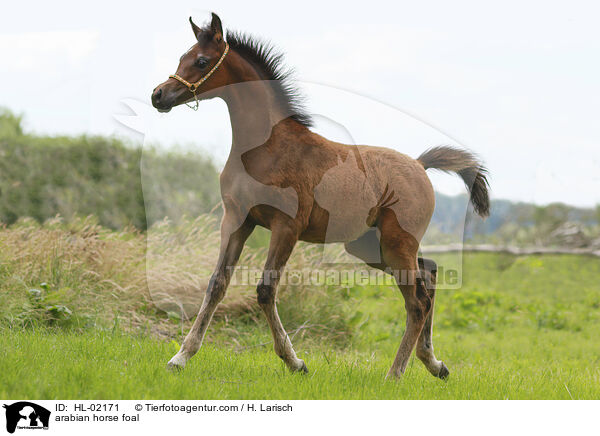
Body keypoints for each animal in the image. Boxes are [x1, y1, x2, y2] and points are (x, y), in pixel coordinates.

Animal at [152, 13, 490, 380]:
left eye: (201, 61)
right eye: (182, 57)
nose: (158, 95)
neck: (265, 148)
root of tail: (419, 164)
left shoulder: (287, 227)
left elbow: (265, 290)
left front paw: (295, 361)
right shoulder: (237, 220)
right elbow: (217, 284)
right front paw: (180, 357)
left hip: (397, 244)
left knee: (417, 302)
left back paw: (394, 376)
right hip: (371, 245)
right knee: (429, 274)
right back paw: (434, 363)